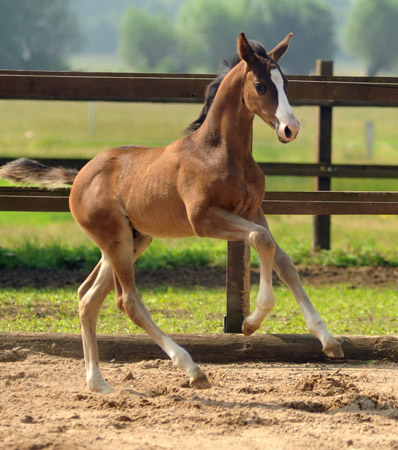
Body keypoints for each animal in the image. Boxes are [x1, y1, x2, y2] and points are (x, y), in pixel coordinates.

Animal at [0, 34, 342, 394]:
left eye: (285, 83)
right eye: (261, 86)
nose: (291, 128)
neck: (219, 152)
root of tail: (78, 176)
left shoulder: (253, 211)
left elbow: (283, 260)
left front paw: (328, 340)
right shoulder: (205, 220)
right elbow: (260, 240)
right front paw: (251, 322)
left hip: (131, 241)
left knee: (88, 297)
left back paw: (98, 383)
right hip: (116, 240)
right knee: (127, 300)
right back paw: (191, 369)